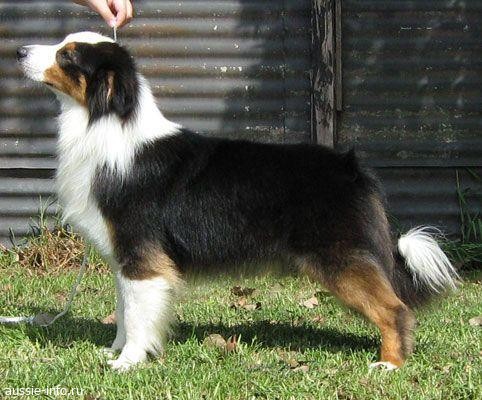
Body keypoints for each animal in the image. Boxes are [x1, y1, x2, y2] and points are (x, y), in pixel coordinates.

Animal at [17, 32, 458, 371]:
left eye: (67, 55)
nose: (19, 51)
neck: (104, 121)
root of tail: (353, 169)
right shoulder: (127, 258)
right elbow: (126, 311)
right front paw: (115, 351)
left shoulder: (142, 256)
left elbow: (139, 315)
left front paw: (128, 362)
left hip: (339, 257)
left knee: (395, 308)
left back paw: (389, 364)